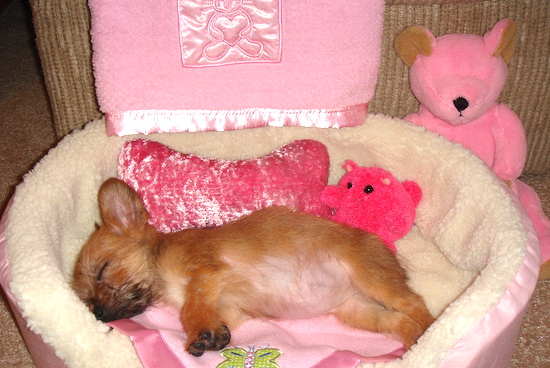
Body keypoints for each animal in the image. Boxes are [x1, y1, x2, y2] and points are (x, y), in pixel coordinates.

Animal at [73, 178, 436, 356]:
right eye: (86, 301)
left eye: (104, 269)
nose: (98, 314)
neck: (161, 264)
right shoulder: (227, 307)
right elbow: (209, 313)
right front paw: (213, 335)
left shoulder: (203, 272)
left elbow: (190, 310)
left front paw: (199, 334)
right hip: (358, 311)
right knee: (399, 321)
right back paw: (413, 343)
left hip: (372, 279)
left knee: (415, 305)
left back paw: (433, 337)